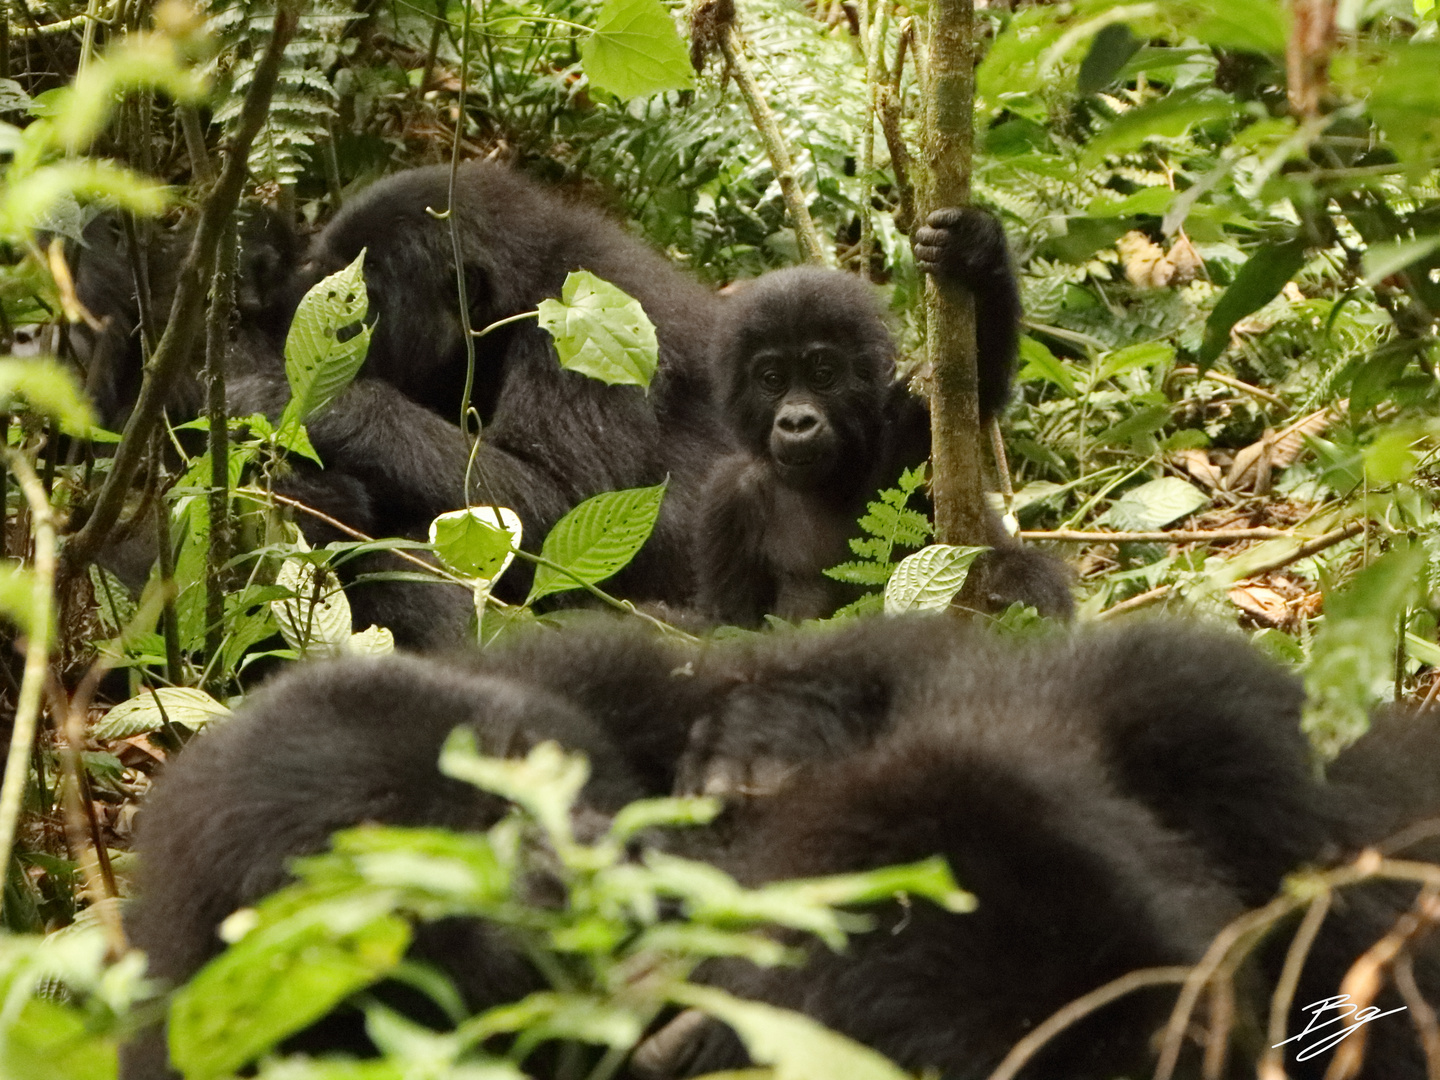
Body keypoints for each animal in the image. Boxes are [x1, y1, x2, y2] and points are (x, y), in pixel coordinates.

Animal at [691, 208, 1077, 624]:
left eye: (823, 375)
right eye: (772, 380)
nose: (797, 422)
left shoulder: (910, 426)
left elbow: (973, 381)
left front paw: (972, 249)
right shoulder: (728, 501)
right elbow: (730, 620)